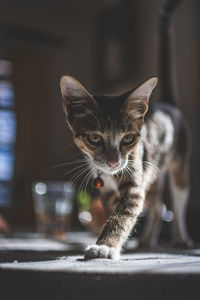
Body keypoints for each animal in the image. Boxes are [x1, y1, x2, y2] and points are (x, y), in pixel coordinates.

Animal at [59, 0, 192, 258]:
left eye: (129, 139)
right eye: (94, 138)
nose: (113, 162)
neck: (108, 176)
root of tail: (168, 105)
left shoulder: (134, 175)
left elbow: (123, 213)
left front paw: (105, 246)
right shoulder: (110, 191)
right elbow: (118, 210)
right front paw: (118, 243)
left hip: (179, 162)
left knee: (179, 200)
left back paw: (181, 237)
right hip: (153, 169)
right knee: (157, 203)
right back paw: (148, 240)